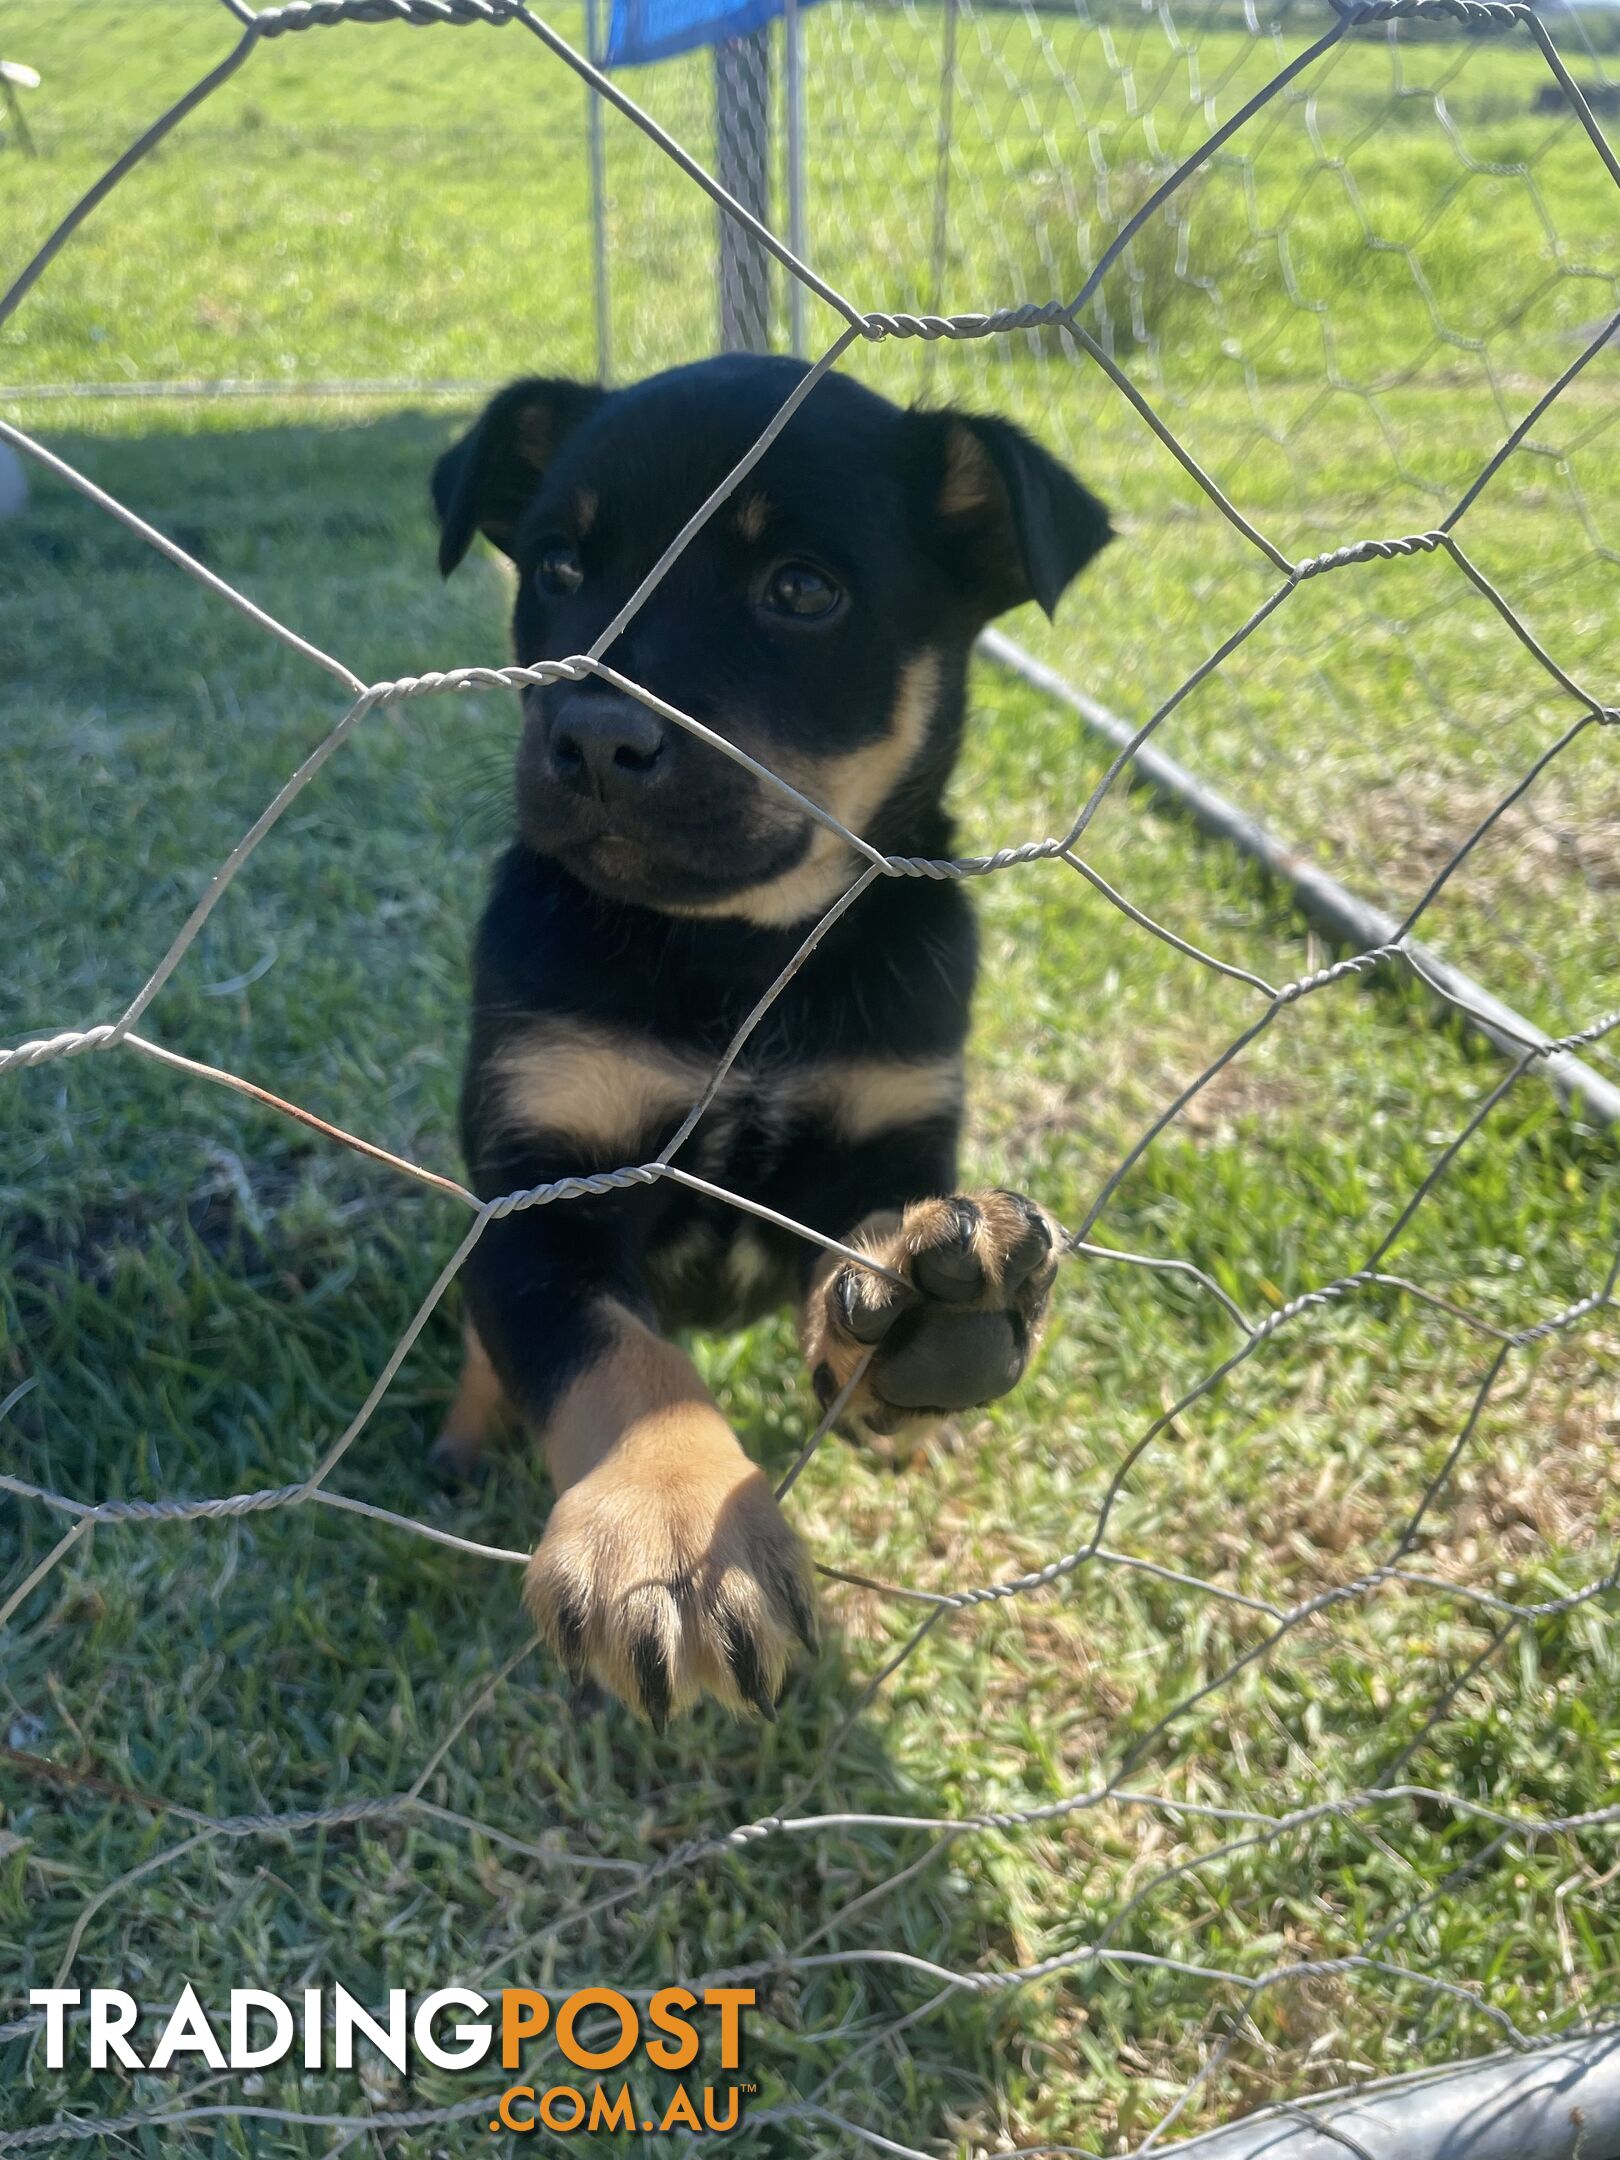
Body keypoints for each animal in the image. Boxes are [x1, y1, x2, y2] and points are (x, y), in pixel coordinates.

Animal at [434, 354, 1114, 1728]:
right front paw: (668, 1531)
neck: (737, 956)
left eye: (802, 590)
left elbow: (870, 1244)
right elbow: (611, 1348)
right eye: (559, 567)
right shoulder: (543, 1178)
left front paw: (926, 1315)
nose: (592, 739)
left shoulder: (891, 1125)